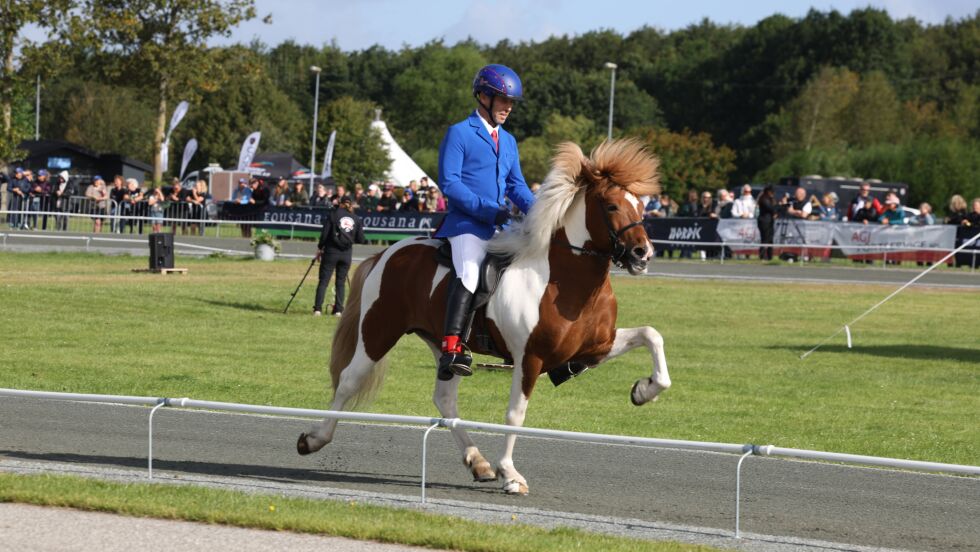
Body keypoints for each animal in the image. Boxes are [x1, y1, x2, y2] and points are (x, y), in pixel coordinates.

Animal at [294, 139, 668, 496]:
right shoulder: (529, 359)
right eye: (611, 205)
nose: (643, 254)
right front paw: (511, 475)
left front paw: (643, 390)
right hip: (378, 331)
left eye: (642, 205)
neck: (567, 281)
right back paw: (313, 439)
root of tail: (389, 252)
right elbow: (514, 415)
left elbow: (652, 335)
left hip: (447, 348)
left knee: (444, 398)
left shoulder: (595, 347)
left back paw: (478, 462)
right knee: (349, 380)